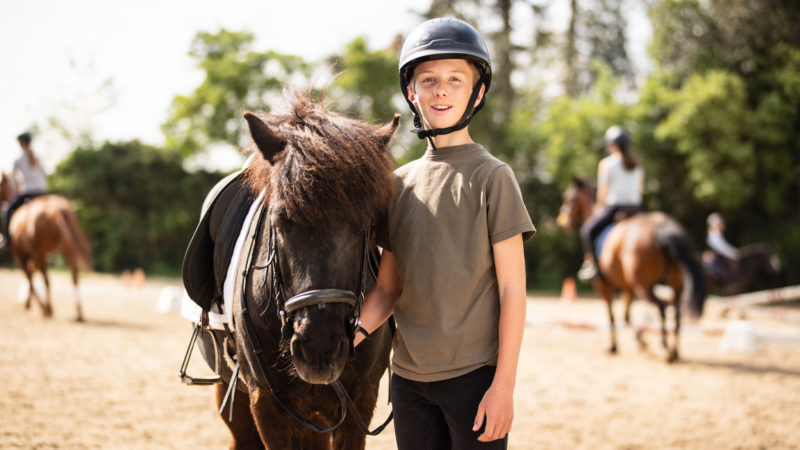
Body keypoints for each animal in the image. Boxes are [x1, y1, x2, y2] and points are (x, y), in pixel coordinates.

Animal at [0, 171, 93, 320]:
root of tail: (55, 208)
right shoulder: (32, 255)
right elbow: (31, 276)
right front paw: (27, 302)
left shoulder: (20, 254)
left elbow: (30, 279)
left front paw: (38, 306)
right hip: (67, 248)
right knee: (74, 277)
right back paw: (78, 313)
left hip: (39, 253)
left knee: (46, 280)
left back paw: (47, 308)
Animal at [556, 178, 708, 364]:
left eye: (567, 198)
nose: (562, 221)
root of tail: (661, 225)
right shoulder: (628, 287)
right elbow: (626, 317)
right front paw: (640, 340)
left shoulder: (603, 284)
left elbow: (612, 315)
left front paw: (614, 346)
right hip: (675, 282)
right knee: (677, 311)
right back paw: (674, 351)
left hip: (642, 284)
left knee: (661, 307)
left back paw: (665, 347)